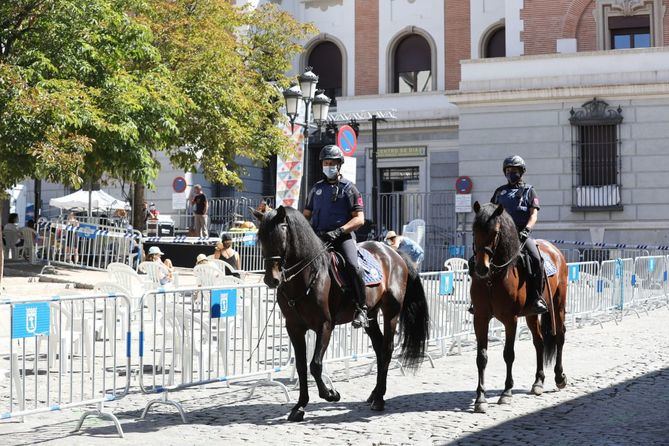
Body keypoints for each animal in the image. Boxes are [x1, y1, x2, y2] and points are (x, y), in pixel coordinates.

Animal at [250, 206, 428, 422]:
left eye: (280, 237)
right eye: (261, 238)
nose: (271, 279)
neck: (307, 276)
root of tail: (392, 252)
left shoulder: (325, 325)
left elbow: (315, 364)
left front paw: (330, 394)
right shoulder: (294, 328)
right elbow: (301, 366)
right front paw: (299, 406)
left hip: (391, 312)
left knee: (386, 349)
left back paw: (379, 400)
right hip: (371, 315)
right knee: (378, 348)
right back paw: (374, 394)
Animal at [468, 202, 568, 414]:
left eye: (496, 232)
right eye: (474, 230)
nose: (481, 268)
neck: (493, 278)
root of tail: (554, 250)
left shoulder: (510, 319)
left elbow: (508, 354)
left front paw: (506, 393)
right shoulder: (480, 317)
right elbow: (481, 357)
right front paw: (480, 398)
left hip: (558, 305)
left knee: (559, 337)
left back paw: (559, 377)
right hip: (531, 314)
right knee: (539, 342)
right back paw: (538, 382)